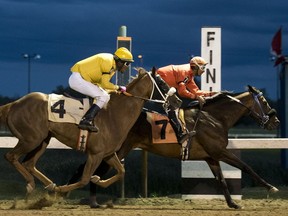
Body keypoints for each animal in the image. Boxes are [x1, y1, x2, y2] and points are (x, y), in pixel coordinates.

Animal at [1, 68, 176, 194]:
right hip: (31, 139)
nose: (177, 100)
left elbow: (122, 171)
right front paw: (62, 190)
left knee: (29, 163)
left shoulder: (108, 153)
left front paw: (98, 180)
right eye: (162, 83)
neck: (115, 113)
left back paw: (49, 185)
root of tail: (13, 104)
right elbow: (85, 179)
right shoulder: (95, 154)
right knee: (11, 156)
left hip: (43, 139)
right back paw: (32, 184)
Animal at [71, 85, 280, 209]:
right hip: (117, 149)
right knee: (95, 169)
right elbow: (246, 167)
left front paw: (232, 204)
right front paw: (271, 187)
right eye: (264, 101)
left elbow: (221, 179)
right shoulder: (219, 151)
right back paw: (92, 199)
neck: (215, 118)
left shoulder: (211, 157)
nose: (276, 121)